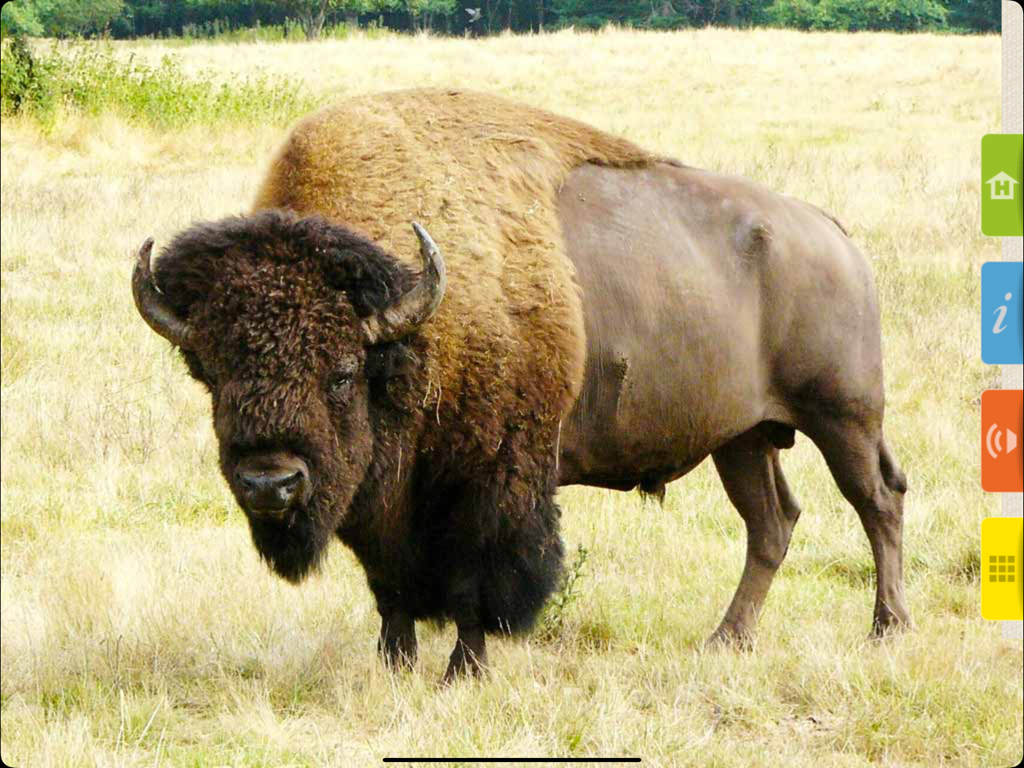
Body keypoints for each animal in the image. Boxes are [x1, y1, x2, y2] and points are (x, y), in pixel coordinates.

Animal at [133, 89, 909, 679]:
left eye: (343, 372)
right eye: (211, 374)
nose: (269, 484)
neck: (417, 324)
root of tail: (831, 232)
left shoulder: (489, 482)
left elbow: (478, 585)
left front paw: (463, 672)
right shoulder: (382, 504)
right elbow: (389, 587)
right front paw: (395, 665)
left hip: (843, 416)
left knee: (877, 501)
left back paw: (887, 628)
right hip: (742, 438)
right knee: (772, 522)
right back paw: (727, 640)